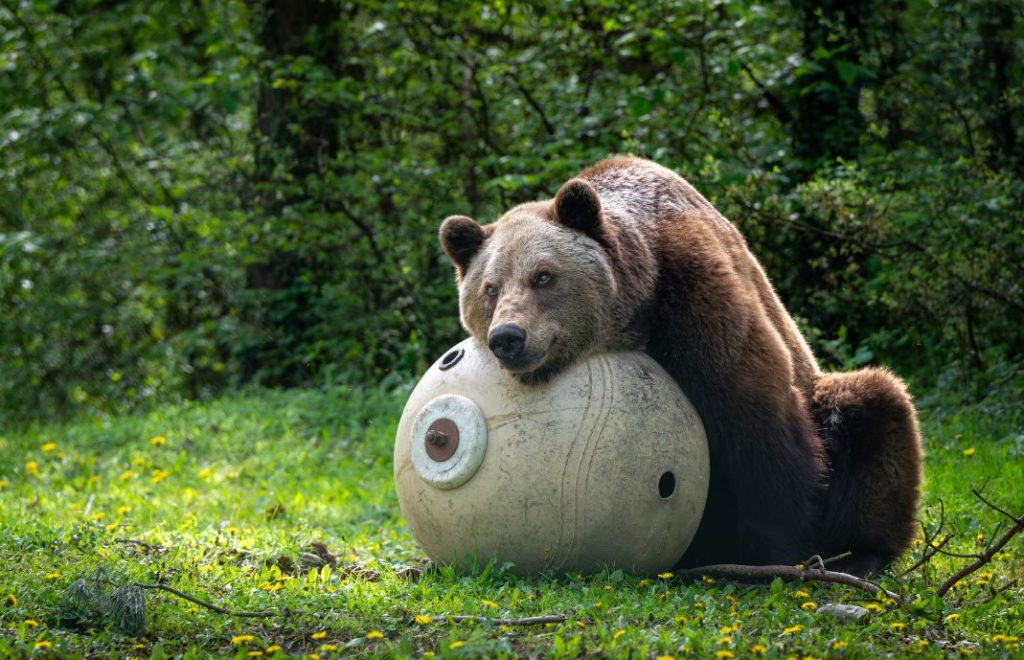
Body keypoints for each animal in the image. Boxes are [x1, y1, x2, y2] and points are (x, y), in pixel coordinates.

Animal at [436, 156, 925, 573]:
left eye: (543, 276)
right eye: (491, 288)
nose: (508, 338)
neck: (638, 309)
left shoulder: (698, 300)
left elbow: (756, 426)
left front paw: (771, 554)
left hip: (829, 400)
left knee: (875, 406)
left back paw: (859, 554)